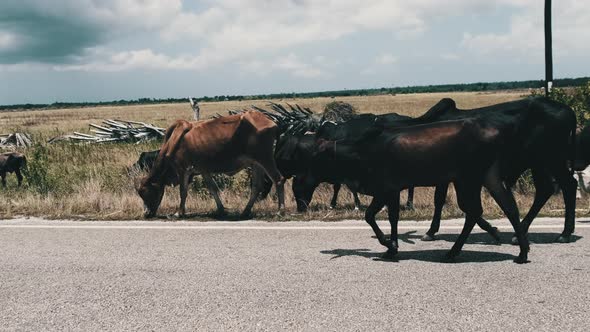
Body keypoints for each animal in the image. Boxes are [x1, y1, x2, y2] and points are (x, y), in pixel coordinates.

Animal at [138, 111, 288, 219]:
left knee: (278, 179)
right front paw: (221, 210)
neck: (172, 143)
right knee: (256, 187)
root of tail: (272, 123)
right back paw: (245, 211)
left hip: (265, 159)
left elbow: (183, 191)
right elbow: (213, 188)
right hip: (256, 164)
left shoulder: (183, 169)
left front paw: (178, 213)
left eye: (146, 193)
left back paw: (280, 211)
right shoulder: (203, 170)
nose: (146, 214)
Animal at [296, 118, 532, 264]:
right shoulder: (391, 192)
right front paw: (391, 247)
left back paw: (454, 252)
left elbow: (370, 215)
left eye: (315, 158)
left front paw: (388, 244)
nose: (303, 183)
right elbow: (392, 218)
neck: (361, 153)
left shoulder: (385, 190)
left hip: (468, 180)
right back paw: (521, 251)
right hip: (486, 177)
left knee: (475, 211)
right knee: (508, 207)